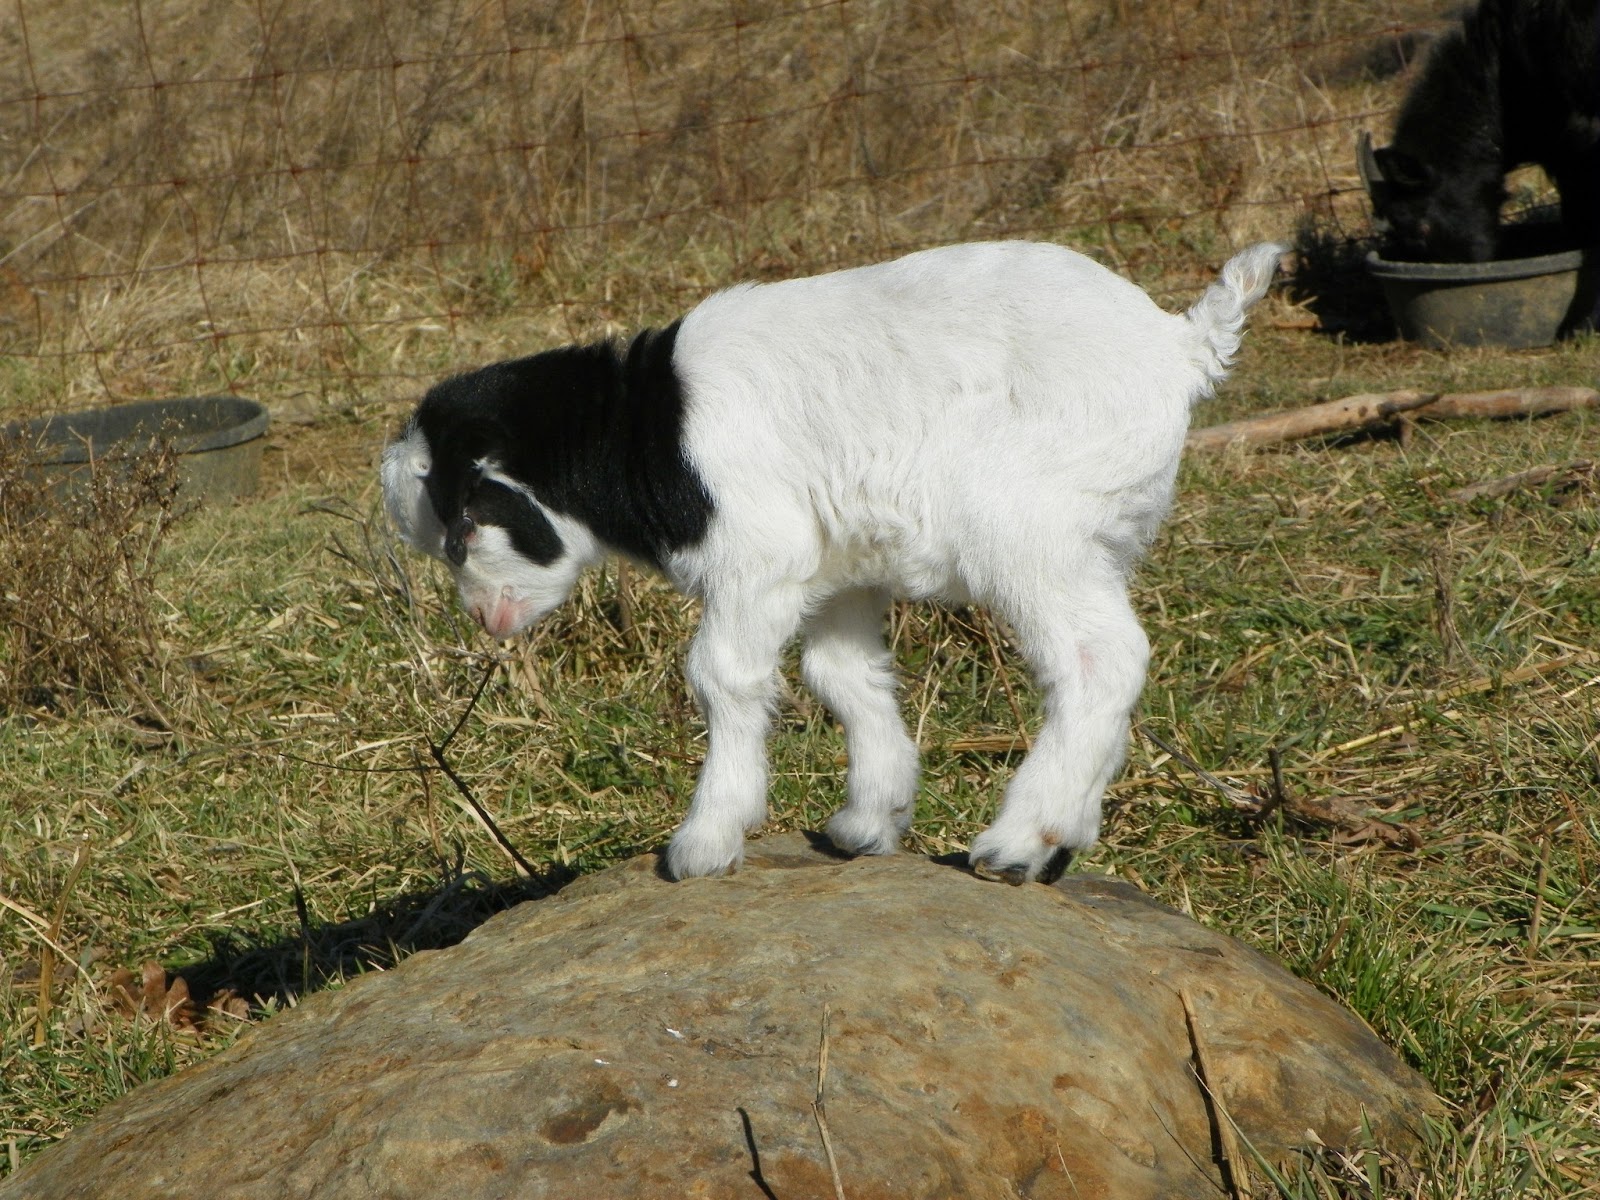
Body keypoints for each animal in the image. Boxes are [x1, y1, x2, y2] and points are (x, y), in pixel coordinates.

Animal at [382, 241, 1283, 883]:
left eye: (465, 525)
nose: (484, 618)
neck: (642, 430)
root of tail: (1178, 345)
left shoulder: (758, 551)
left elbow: (722, 674)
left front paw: (706, 838)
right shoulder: (838, 571)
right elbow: (843, 676)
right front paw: (870, 819)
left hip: (1029, 522)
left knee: (1101, 658)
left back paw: (1021, 839)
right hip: (1096, 532)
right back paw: (1065, 838)